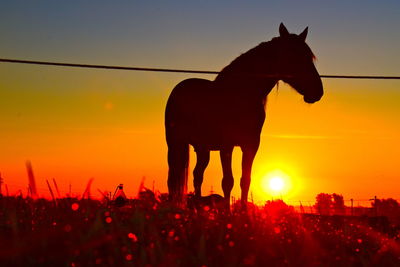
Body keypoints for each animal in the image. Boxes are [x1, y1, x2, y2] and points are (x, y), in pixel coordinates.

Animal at [164, 23, 324, 207]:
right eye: (293, 56)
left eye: (309, 57)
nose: (318, 92)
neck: (241, 94)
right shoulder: (226, 146)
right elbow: (227, 181)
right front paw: (227, 211)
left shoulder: (251, 146)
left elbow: (245, 180)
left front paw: (242, 211)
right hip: (175, 144)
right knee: (173, 178)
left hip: (202, 149)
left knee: (197, 176)